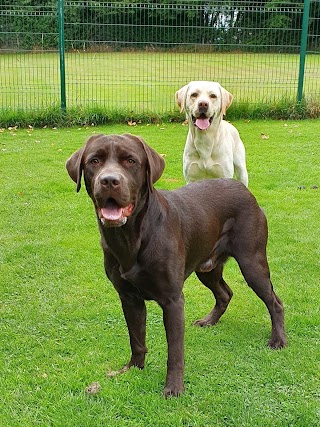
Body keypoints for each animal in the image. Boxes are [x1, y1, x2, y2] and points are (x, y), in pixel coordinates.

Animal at [66, 134, 286, 398]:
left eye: (130, 161)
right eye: (94, 161)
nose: (109, 180)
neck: (132, 238)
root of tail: (245, 190)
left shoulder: (172, 300)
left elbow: (175, 350)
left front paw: (173, 387)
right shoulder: (129, 298)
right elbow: (136, 338)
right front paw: (134, 368)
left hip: (252, 262)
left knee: (275, 302)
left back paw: (278, 340)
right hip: (206, 268)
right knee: (225, 293)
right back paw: (209, 321)